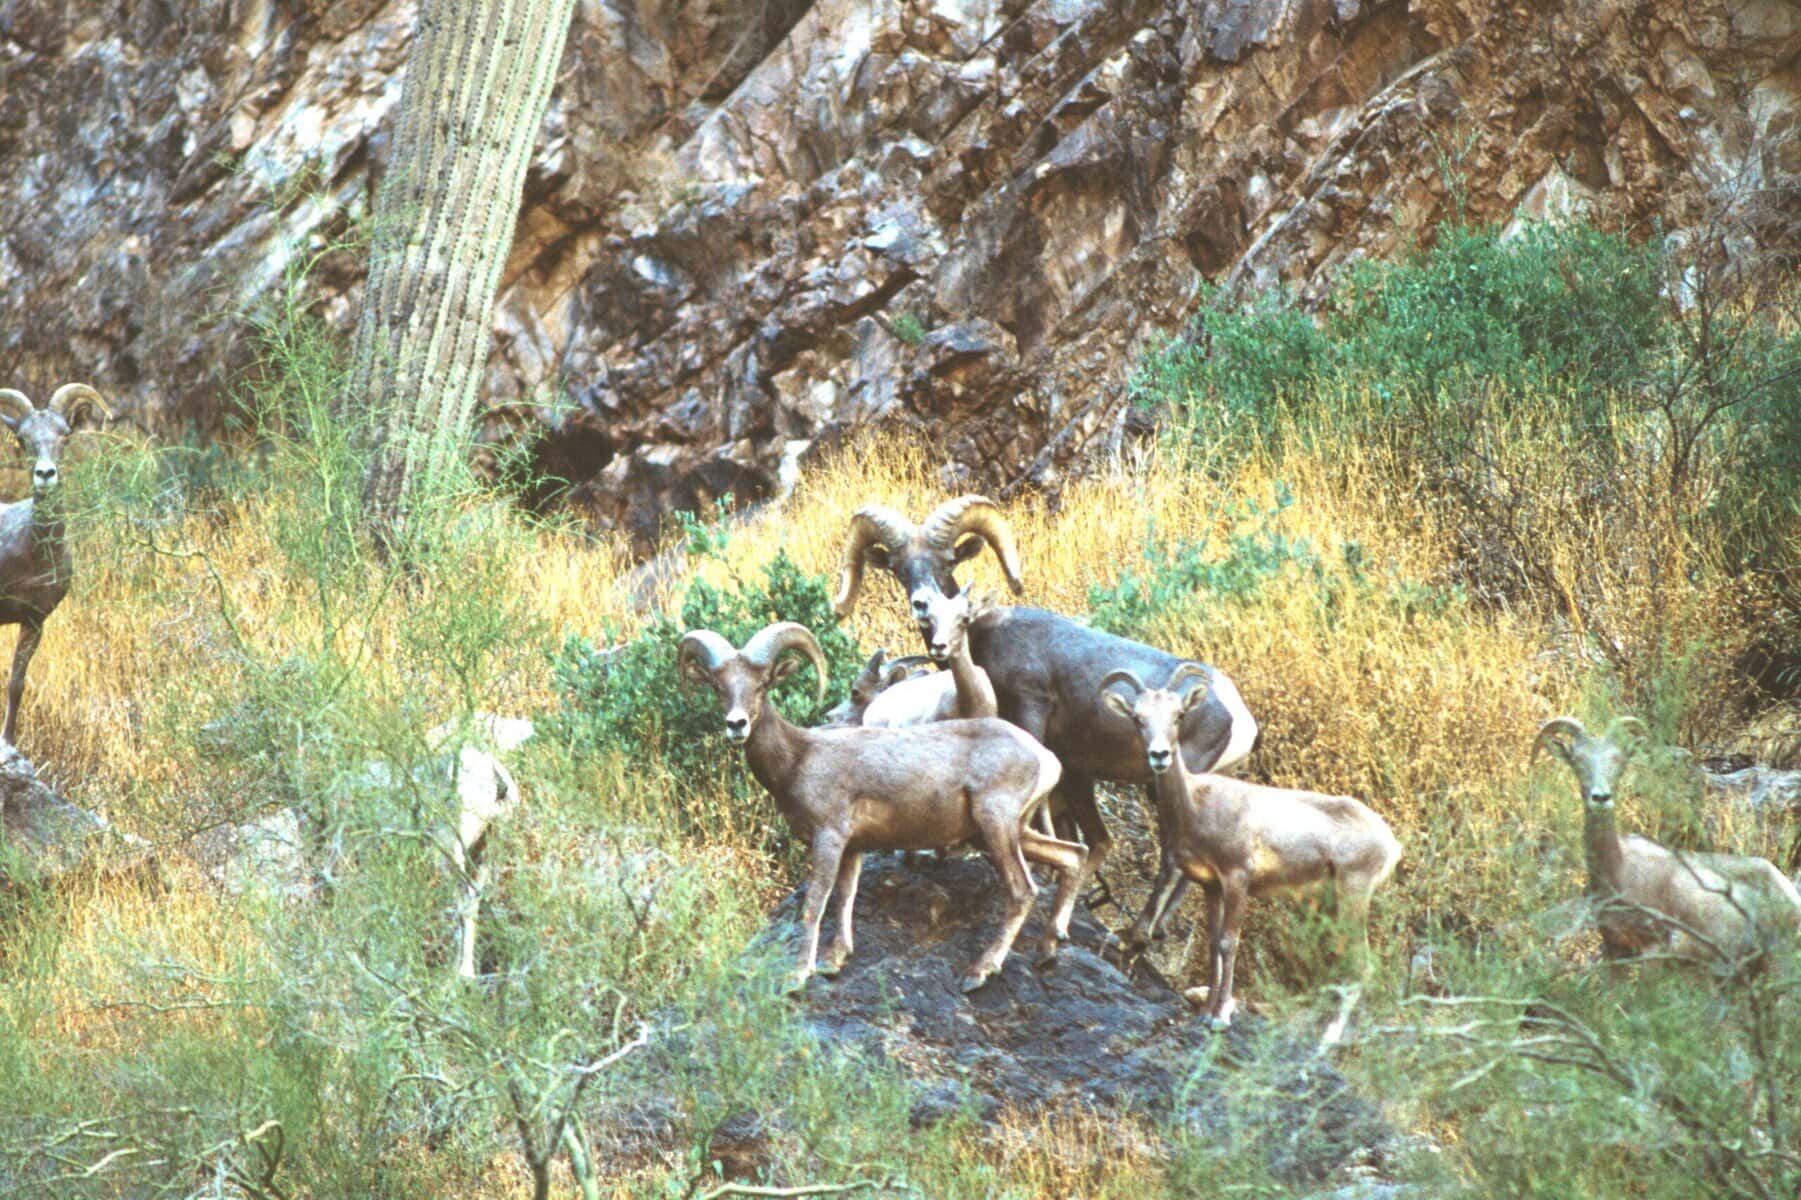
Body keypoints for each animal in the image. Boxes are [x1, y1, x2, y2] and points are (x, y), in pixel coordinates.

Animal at [0, 383, 111, 747]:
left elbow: (16, 684)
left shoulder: (34, 622)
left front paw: (9, 741)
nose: (45, 474)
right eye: (24, 439)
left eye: (64, 434)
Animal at [678, 621, 1088, 991]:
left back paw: (979, 973)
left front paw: (798, 976)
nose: (737, 725)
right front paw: (834, 960)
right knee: (1074, 856)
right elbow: (845, 898)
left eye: (763, 684)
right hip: (1015, 831)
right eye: (718, 687)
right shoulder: (852, 848)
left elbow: (816, 902)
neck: (798, 758)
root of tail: (1044, 758)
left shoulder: (828, 839)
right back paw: (1048, 950)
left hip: (996, 825)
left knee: (1022, 892)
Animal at [1103, 664, 1401, 1033]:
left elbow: (1229, 942)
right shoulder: (1211, 886)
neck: (1197, 804)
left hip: (1353, 896)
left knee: (1361, 964)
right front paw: (1205, 1013)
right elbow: (1213, 944)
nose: (1159, 755)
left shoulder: (1237, 878)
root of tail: (1390, 843)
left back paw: (1328, 1037)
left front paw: (1221, 1017)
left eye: (1178, 715)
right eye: (1138, 717)